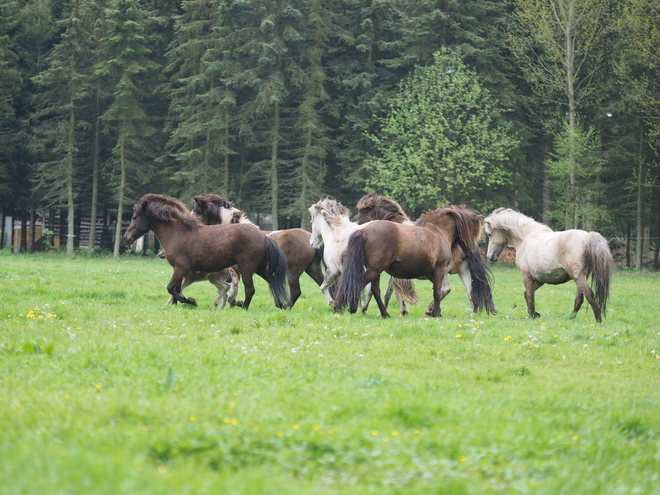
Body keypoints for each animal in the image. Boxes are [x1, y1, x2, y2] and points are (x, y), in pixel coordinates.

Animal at [124, 194, 288, 310]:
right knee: (272, 281)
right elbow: (176, 288)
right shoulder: (180, 270)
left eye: (134, 217)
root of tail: (264, 236)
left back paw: (244, 308)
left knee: (250, 289)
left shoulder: (181, 268)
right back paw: (282, 305)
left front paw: (190, 301)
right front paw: (177, 305)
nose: (126, 238)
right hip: (259, 268)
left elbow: (171, 288)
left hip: (247, 268)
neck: (178, 233)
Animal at [191, 192, 324, 308]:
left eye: (197, 212)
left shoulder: (238, 271)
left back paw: (286, 306)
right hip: (312, 269)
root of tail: (311, 238)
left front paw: (238, 303)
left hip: (293, 272)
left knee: (296, 291)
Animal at [336, 205, 496, 318]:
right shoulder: (439, 270)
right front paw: (436, 313)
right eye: (472, 232)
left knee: (375, 290)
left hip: (376, 271)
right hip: (375, 270)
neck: (437, 232)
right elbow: (437, 292)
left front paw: (433, 312)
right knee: (361, 285)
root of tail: (364, 230)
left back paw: (384, 314)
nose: (471, 253)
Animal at [480, 208, 612, 322]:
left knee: (589, 295)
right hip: (582, 277)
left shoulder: (526, 276)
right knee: (579, 299)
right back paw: (570, 317)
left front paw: (532, 315)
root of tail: (586, 236)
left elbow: (530, 296)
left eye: (489, 234)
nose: (490, 257)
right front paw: (535, 314)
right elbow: (527, 294)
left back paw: (598, 320)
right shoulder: (539, 279)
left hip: (578, 277)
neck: (526, 237)